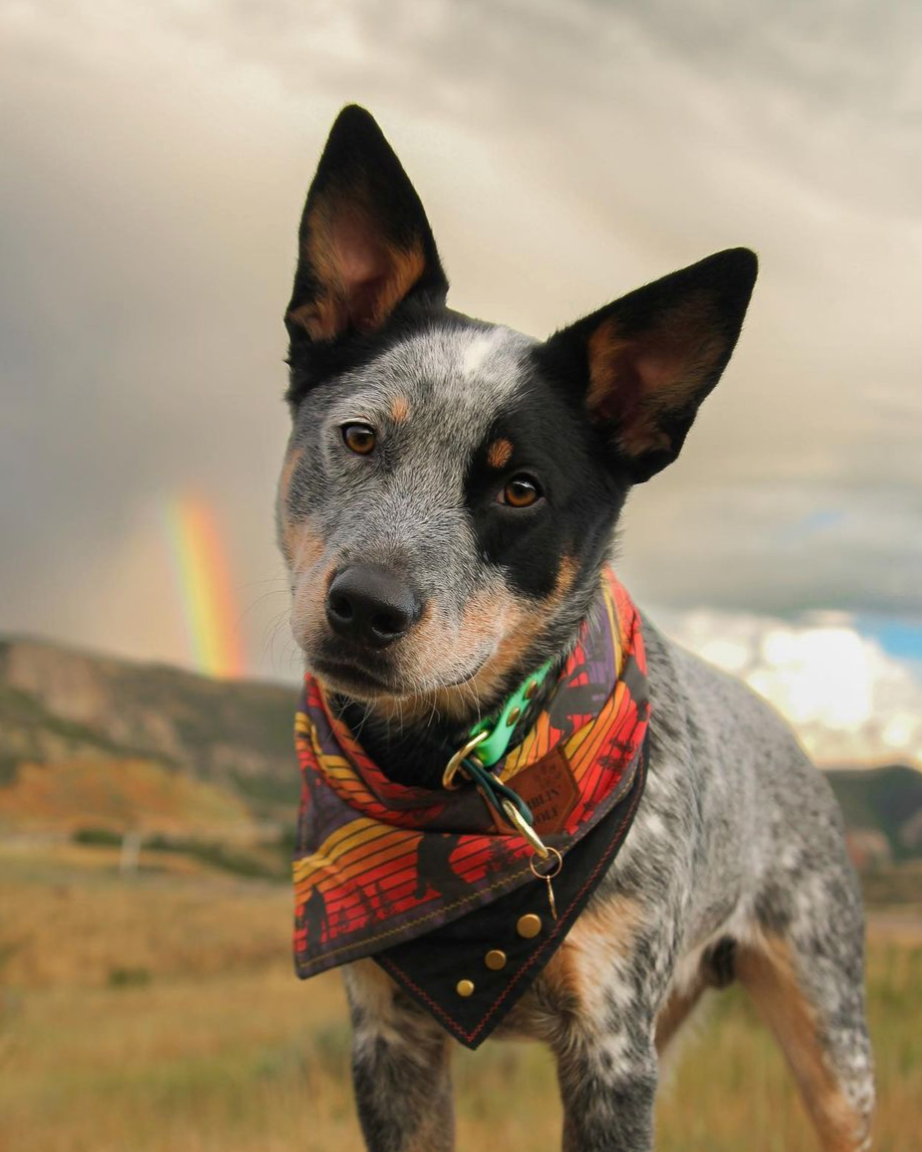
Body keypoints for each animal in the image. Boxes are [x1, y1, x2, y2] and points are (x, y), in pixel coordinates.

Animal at [277, 103, 875, 1147]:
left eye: (521, 488)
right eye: (358, 436)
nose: (365, 606)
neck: (450, 771)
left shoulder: (609, 1047)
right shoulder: (389, 1039)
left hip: (829, 1040)